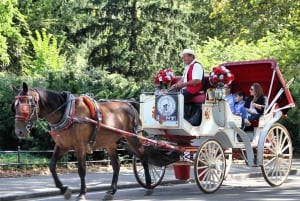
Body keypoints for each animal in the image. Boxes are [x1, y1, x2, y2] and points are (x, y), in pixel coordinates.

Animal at [11, 82, 152, 200]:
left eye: (25, 105)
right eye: (14, 107)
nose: (19, 132)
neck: (67, 113)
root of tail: (130, 105)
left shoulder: (80, 146)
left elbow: (82, 169)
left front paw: (82, 193)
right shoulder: (62, 145)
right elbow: (52, 165)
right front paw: (64, 190)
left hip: (134, 137)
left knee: (143, 156)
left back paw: (149, 185)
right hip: (110, 143)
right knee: (116, 164)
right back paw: (111, 191)